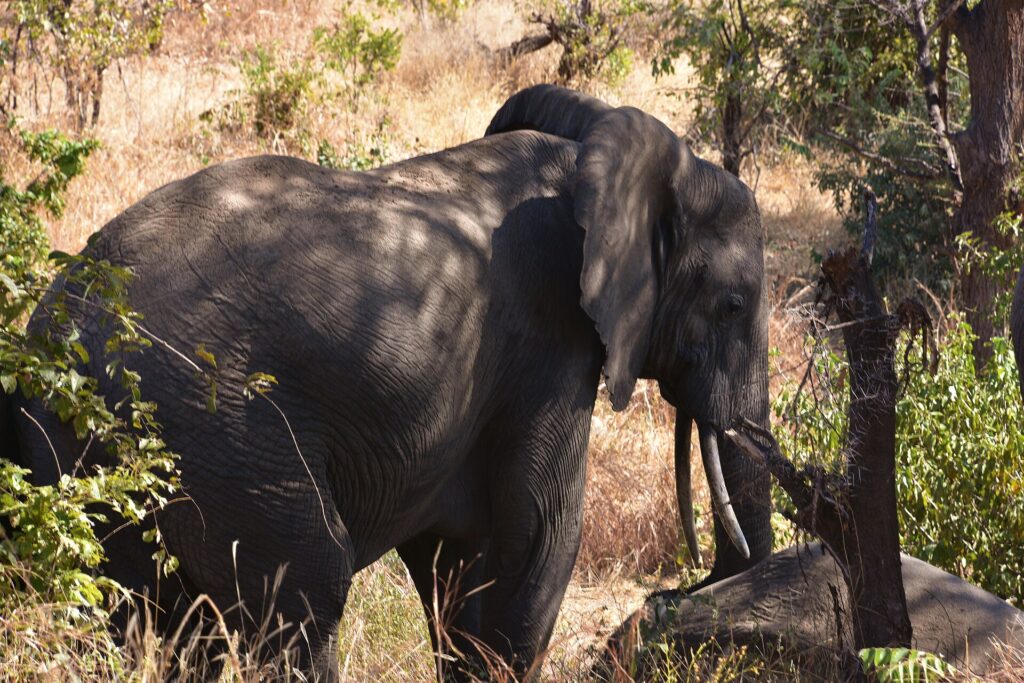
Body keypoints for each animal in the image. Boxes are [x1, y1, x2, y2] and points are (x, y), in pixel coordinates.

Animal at [1, 85, 772, 680]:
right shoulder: (551, 342)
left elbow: (459, 556)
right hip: (216, 425)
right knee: (304, 588)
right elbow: (539, 532)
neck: (592, 149)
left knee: (146, 617)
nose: (679, 588)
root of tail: (50, 335)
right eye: (734, 305)